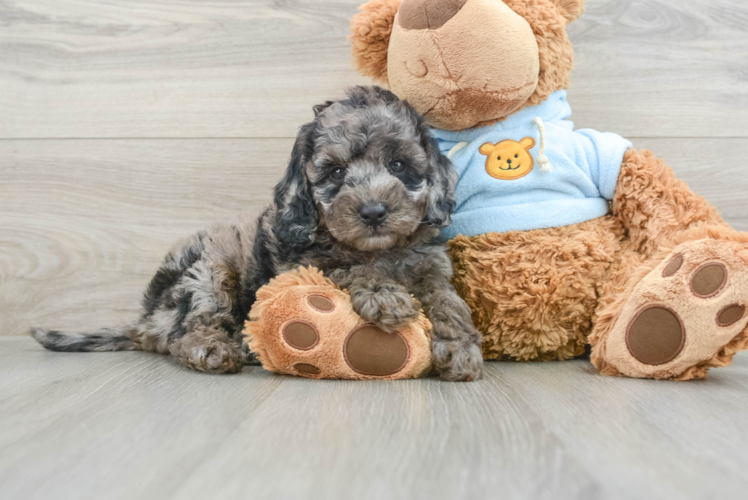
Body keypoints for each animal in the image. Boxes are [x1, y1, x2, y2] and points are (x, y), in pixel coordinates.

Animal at [32, 87, 486, 382]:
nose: (373, 212)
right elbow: (350, 268)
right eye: (336, 171)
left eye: (398, 165)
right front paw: (385, 295)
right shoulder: (309, 261)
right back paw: (216, 350)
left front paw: (460, 347)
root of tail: (145, 320)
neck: (380, 251)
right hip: (207, 274)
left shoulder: (431, 265)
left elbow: (448, 301)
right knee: (187, 333)